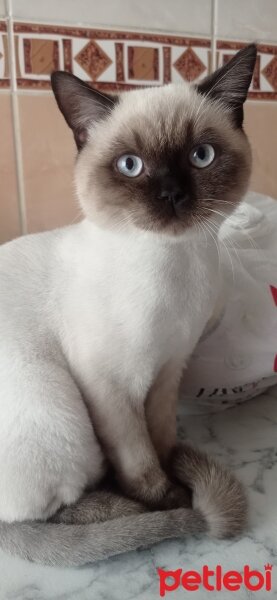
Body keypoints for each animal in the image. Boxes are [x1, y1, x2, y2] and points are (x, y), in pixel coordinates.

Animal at [0, 44, 256, 564]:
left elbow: (161, 438)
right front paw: (168, 495)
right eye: (130, 166)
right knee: (44, 512)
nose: (172, 195)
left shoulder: (168, 369)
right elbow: (139, 457)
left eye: (201, 157)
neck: (175, 267)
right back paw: (138, 509)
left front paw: (173, 469)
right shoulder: (110, 385)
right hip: (59, 405)